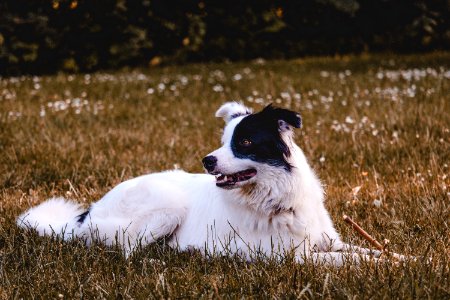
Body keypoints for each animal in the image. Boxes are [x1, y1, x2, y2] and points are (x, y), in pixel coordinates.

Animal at [16, 102, 394, 264]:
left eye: (244, 142)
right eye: (223, 140)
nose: (207, 161)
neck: (274, 198)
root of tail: (88, 213)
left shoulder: (326, 241)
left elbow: (368, 252)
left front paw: (403, 260)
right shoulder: (285, 255)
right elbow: (350, 262)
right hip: (167, 206)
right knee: (126, 250)